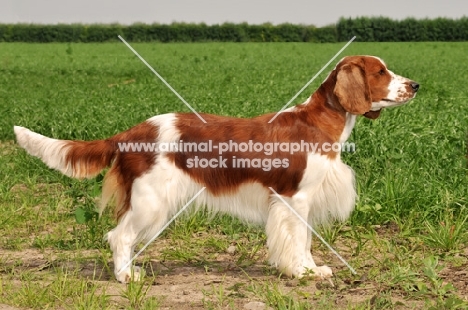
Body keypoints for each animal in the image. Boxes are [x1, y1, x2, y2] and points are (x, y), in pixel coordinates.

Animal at [14, 55, 418, 284]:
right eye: (381, 72)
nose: (415, 84)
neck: (318, 123)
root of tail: (131, 132)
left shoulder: (302, 199)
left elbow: (304, 240)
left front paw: (310, 269)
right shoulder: (296, 198)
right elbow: (299, 240)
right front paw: (303, 272)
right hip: (150, 200)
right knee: (119, 236)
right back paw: (127, 277)